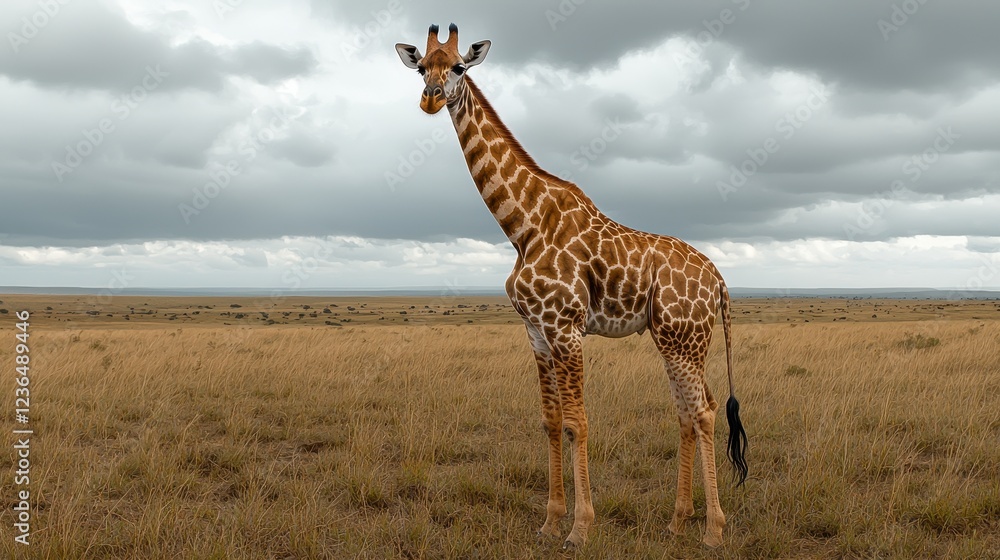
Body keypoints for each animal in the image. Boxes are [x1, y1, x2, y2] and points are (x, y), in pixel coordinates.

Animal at [395, 24, 748, 549]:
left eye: (458, 67)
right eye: (421, 68)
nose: (431, 99)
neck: (521, 225)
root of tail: (720, 280)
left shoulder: (566, 328)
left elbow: (578, 423)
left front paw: (580, 529)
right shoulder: (537, 332)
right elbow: (550, 421)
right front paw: (549, 521)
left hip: (683, 339)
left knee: (703, 412)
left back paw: (712, 531)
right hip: (676, 339)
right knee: (688, 412)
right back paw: (676, 521)